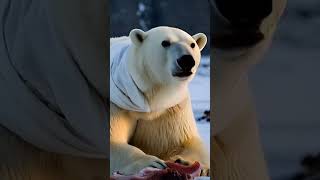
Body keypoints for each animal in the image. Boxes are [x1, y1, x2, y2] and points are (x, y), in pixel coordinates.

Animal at [110, 26, 210, 176]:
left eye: (192, 44)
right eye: (165, 43)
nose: (186, 60)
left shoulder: (169, 108)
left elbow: (180, 142)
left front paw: (187, 162)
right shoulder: (116, 104)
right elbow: (111, 141)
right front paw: (152, 162)